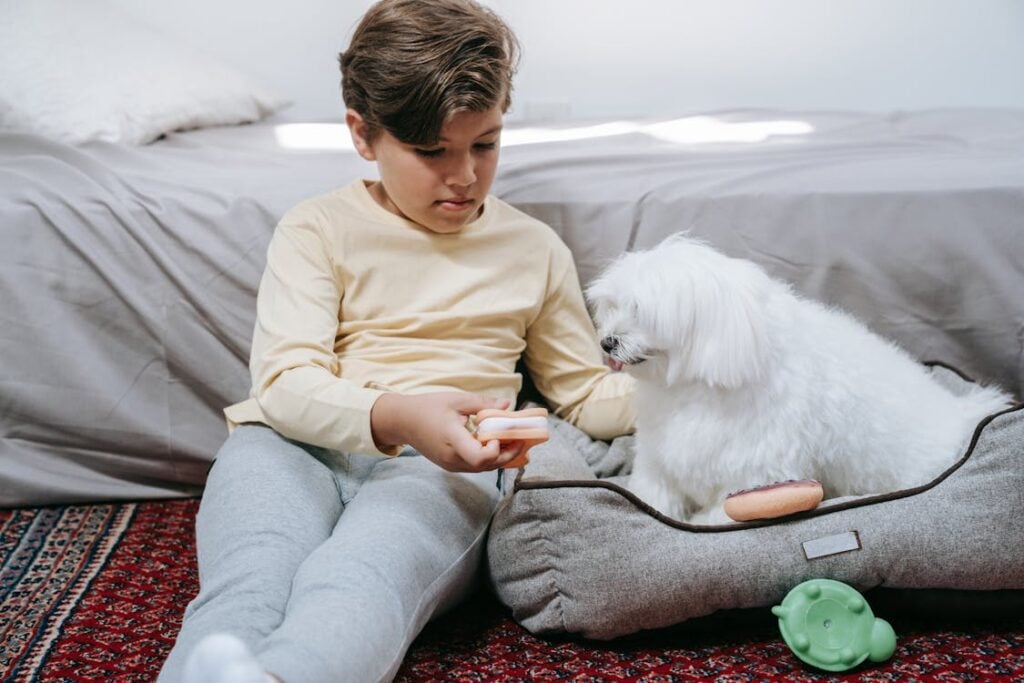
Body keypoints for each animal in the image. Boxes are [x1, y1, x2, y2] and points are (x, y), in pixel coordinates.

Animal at [589, 233, 1011, 524]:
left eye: (641, 312)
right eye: (613, 307)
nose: (607, 341)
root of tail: (961, 416)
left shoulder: (757, 471)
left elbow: (723, 510)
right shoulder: (660, 458)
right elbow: (655, 492)